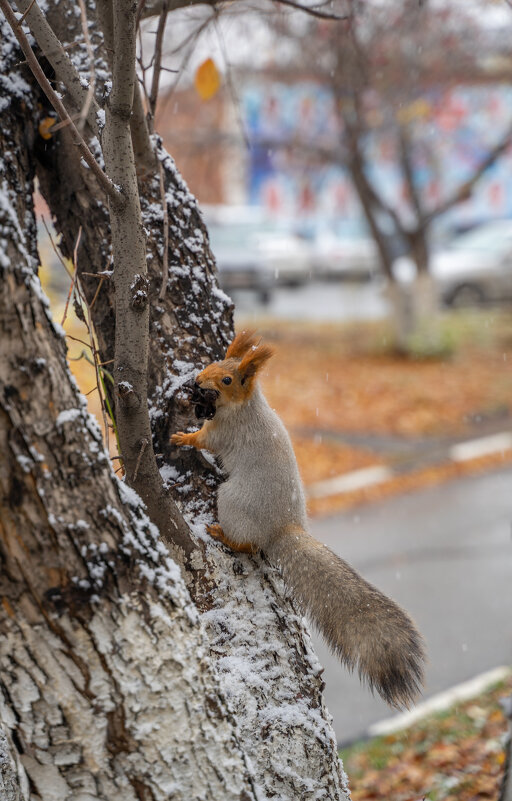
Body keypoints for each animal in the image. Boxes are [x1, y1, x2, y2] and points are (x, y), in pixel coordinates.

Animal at [172, 330, 424, 708]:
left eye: (228, 380)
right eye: (214, 362)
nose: (198, 381)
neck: (246, 406)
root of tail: (282, 528)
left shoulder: (224, 431)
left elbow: (205, 438)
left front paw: (182, 436)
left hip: (232, 501)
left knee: (247, 544)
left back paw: (221, 534)